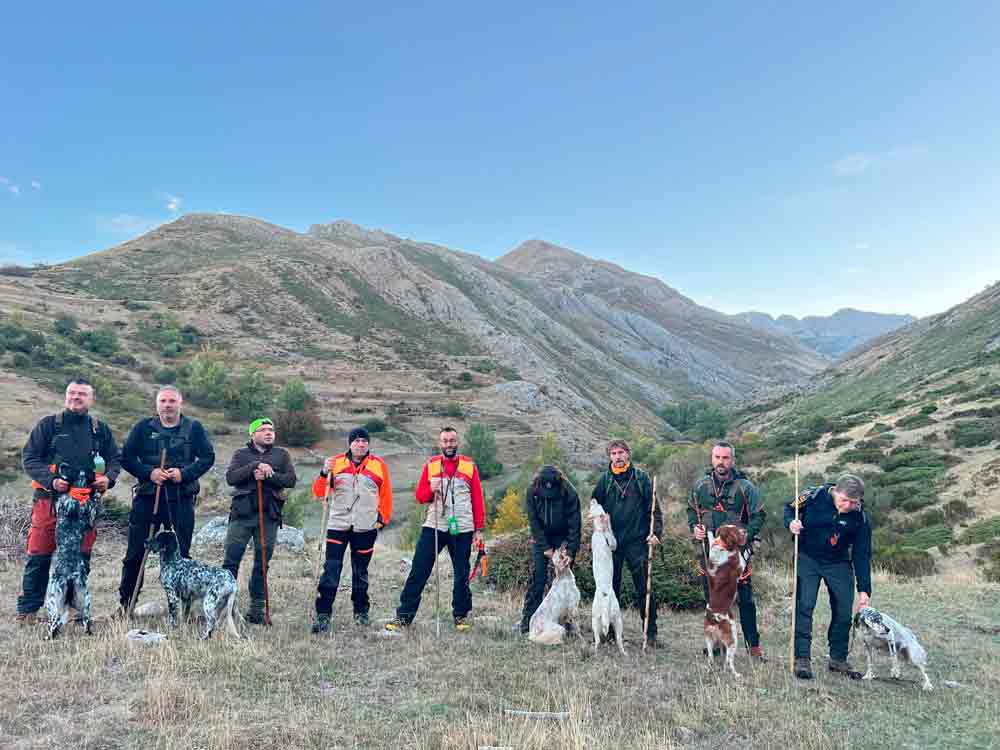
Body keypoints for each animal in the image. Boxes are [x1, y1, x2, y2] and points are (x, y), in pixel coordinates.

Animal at [44, 491, 101, 639]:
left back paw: (48, 637)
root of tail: (69, 577)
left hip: (52, 603)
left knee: (54, 623)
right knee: (86, 621)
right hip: (84, 599)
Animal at [703, 523, 747, 677]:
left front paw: (708, 533)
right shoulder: (740, 564)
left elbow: (711, 540)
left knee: (710, 658)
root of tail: (713, 620)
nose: (745, 530)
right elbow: (741, 555)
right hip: (733, 639)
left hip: (709, 640)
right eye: (736, 531)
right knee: (729, 662)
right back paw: (736, 674)